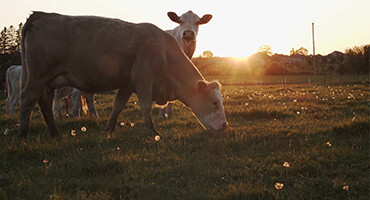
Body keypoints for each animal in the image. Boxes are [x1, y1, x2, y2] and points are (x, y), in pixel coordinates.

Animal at [18, 11, 228, 138]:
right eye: (214, 103)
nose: (225, 125)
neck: (164, 50)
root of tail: (40, 16)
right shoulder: (143, 79)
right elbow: (145, 106)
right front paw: (152, 131)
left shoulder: (127, 84)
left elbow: (117, 106)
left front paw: (109, 129)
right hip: (37, 77)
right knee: (28, 99)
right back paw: (22, 134)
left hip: (47, 81)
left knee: (44, 102)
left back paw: (55, 133)